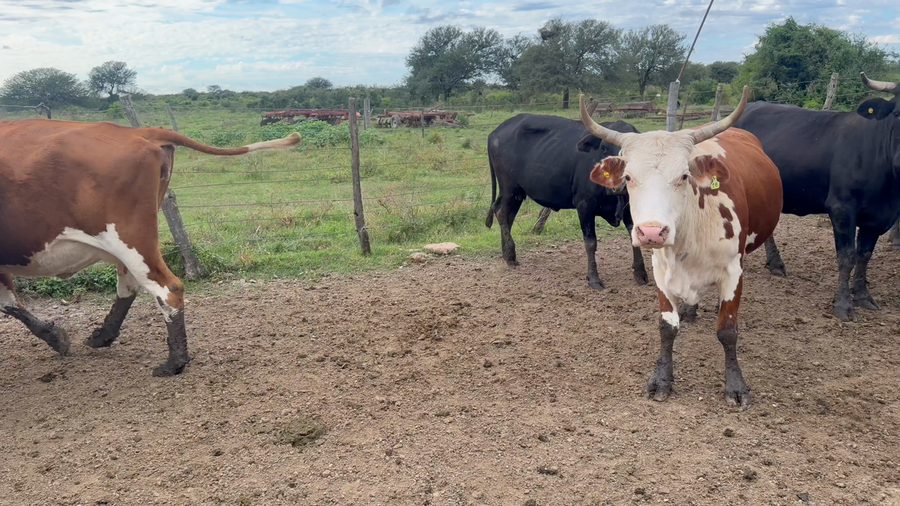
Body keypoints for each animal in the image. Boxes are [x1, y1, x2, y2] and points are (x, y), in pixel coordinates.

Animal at [0, 120, 302, 376]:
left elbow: (8, 304)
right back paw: (102, 336)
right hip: (129, 244)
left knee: (168, 289)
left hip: (129, 239)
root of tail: (137, 131)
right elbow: (9, 303)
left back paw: (174, 363)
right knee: (129, 286)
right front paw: (56, 338)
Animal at [486, 114, 648, 290]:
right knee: (501, 212)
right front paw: (593, 278)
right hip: (509, 188)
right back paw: (509, 253)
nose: (618, 184)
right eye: (603, 147)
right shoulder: (584, 204)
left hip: (517, 192)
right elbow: (590, 242)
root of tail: (497, 130)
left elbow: (634, 236)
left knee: (506, 215)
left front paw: (640, 273)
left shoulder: (629, 207)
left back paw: (507, 254)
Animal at [578, 87, 783, 407]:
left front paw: (736, 386)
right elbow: (666, 327)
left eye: (684, 176)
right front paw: (662, 379)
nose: (651, 231)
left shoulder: (733, 272)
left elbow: (728, 331)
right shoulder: (661, 270)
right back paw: (691, 309)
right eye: (628, 177)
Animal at [735, 73, 900, 321]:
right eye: (898, 113)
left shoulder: (877, 217)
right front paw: (843, 305)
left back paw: (775, 263)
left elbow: (864, 256)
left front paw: (863, 296)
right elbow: (847, 257)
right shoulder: (842, 208)